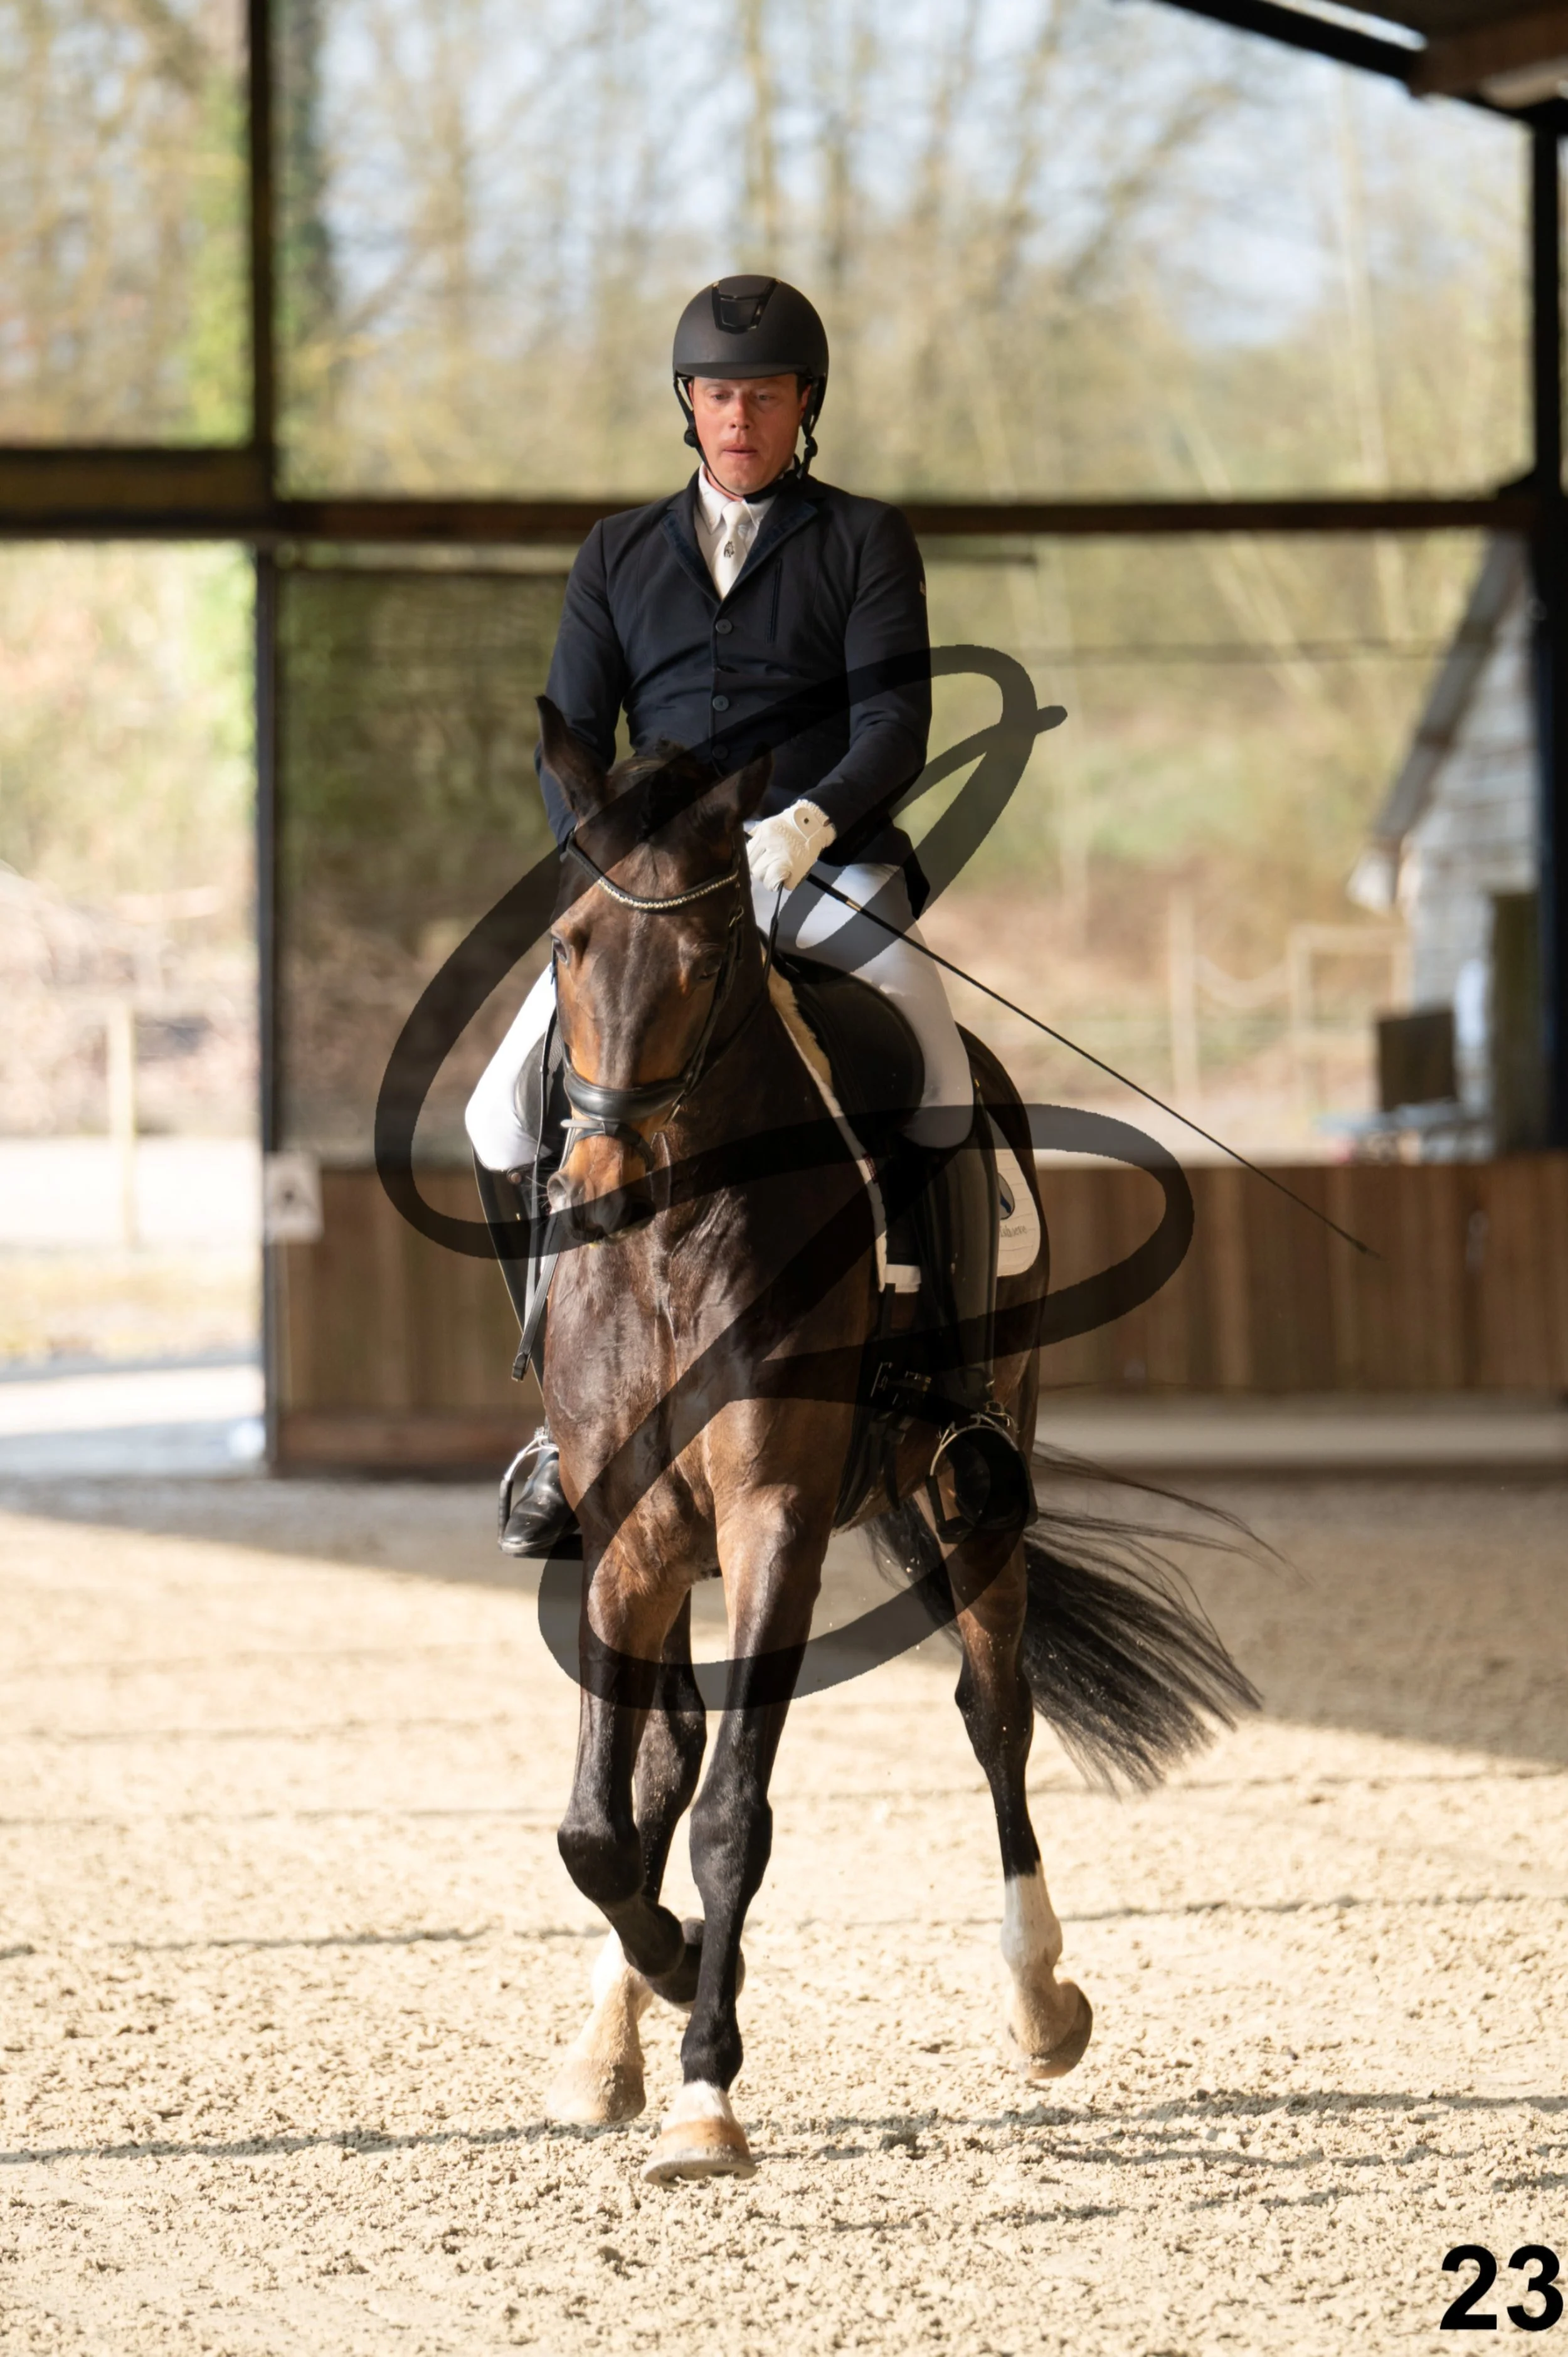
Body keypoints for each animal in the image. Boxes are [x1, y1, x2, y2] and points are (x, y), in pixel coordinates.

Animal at [520, 699, 1254, 2184]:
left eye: (707, 957)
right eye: (568, 943)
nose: (601, 1187)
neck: (676, 1235)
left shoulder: (776, 1519)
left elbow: (733, 1812)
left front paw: (706, 2082)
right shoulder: (630, 1531)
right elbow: (601, 1822)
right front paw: (667, 1980)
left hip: (976, 1488)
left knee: (994, 1709)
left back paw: (1040, 2000)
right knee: (664, 1758)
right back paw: (614, 2031)